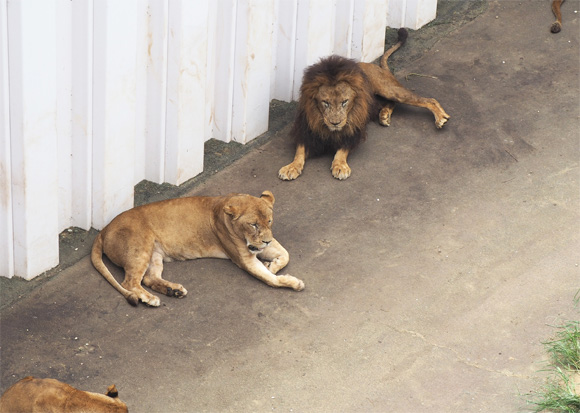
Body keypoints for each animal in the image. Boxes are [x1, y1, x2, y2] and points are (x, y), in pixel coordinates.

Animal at [92, 190, 304, 306]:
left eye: (269, 221)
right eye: (253, 225)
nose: (266, 241)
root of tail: (104, 229)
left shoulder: (260, 245)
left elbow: (285, 254)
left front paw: (273, 266)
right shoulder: (244, 258)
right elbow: (270, 280)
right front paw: (291, 282)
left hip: (154, 254)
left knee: (149, 278)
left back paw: (173, 290)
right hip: (140, 248)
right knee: (129, 282)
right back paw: (150, 299)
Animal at [278, 26, 450, 179]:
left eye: (345, 102)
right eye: (325, 102)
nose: (335, 123)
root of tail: (374, 66)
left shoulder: (353, 130)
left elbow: (342, 150)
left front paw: (340, 166)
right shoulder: (306, 131)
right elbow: (299, 151)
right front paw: (291, 167)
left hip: (389, 89)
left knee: (428, 100)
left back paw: (441, 118)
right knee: (392, 103)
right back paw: (384, 116)